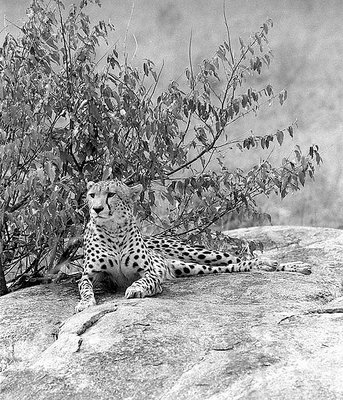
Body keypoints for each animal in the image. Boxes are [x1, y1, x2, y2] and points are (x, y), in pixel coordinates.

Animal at [75, 179, 312, 312]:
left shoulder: (150, 273)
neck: (114, 231)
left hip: (199, 253)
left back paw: (288, 265)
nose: (96, 209)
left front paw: (136, 289)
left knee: (241, 259)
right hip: (187, 267)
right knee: (231, 267)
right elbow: (84, 288)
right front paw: (85, 303)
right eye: (92, 195)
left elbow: (145, 281)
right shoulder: (89, 275)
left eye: (111, 194)